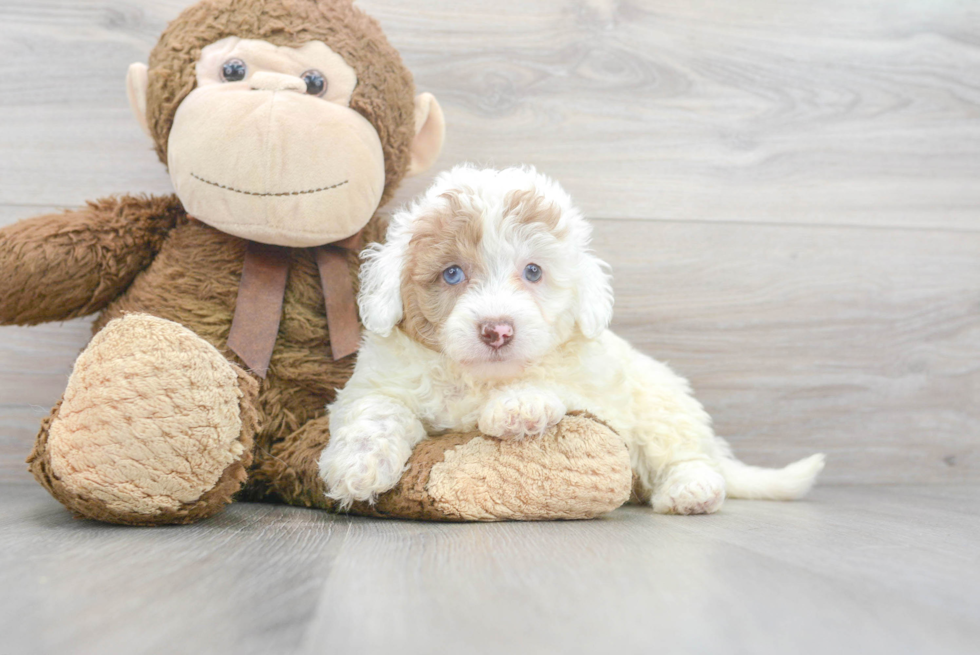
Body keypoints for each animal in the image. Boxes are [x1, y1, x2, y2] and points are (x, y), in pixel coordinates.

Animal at [318, 167, 824, 516]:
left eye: (533, 271)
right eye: (453, 274)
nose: (497, 329)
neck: (481, 378)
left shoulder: (597, 390)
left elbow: (559, 385)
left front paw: (518, 406)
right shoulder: (377, 383)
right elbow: (377, 412)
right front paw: (357, 468)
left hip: (662, 405)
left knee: (688, 456)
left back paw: (691, 489)